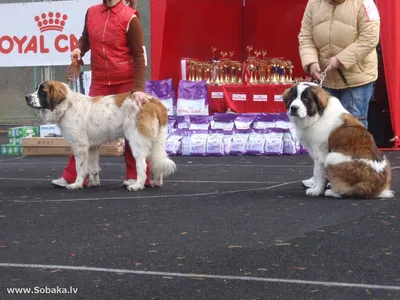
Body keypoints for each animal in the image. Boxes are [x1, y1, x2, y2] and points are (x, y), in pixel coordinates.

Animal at [24, 81, 175, 191]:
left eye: (42, 92)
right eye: (36, 89)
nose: (26, 97)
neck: (67, 105)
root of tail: (153, 101)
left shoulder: (80, 146)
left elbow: (79, 166)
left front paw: (76, 184)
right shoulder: (92, 146)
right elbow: (92, 167)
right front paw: (94, 182)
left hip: (137, 141)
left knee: (142, 165)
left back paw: (137, 185)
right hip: (156, 141)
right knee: (157, 161)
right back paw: (156, 182)